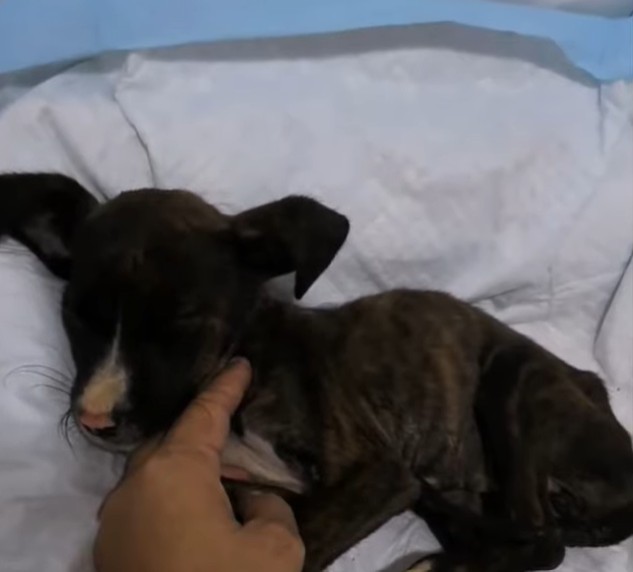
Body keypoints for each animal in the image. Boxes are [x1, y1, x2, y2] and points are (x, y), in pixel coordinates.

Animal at [1, 172, 632, 572]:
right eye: (75, 316)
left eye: (182, 324)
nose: (95, 419)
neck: (246, 350)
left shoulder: (380, 473)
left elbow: (305, 539)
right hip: (450, 492)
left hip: (515, 382)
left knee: (545, 540)